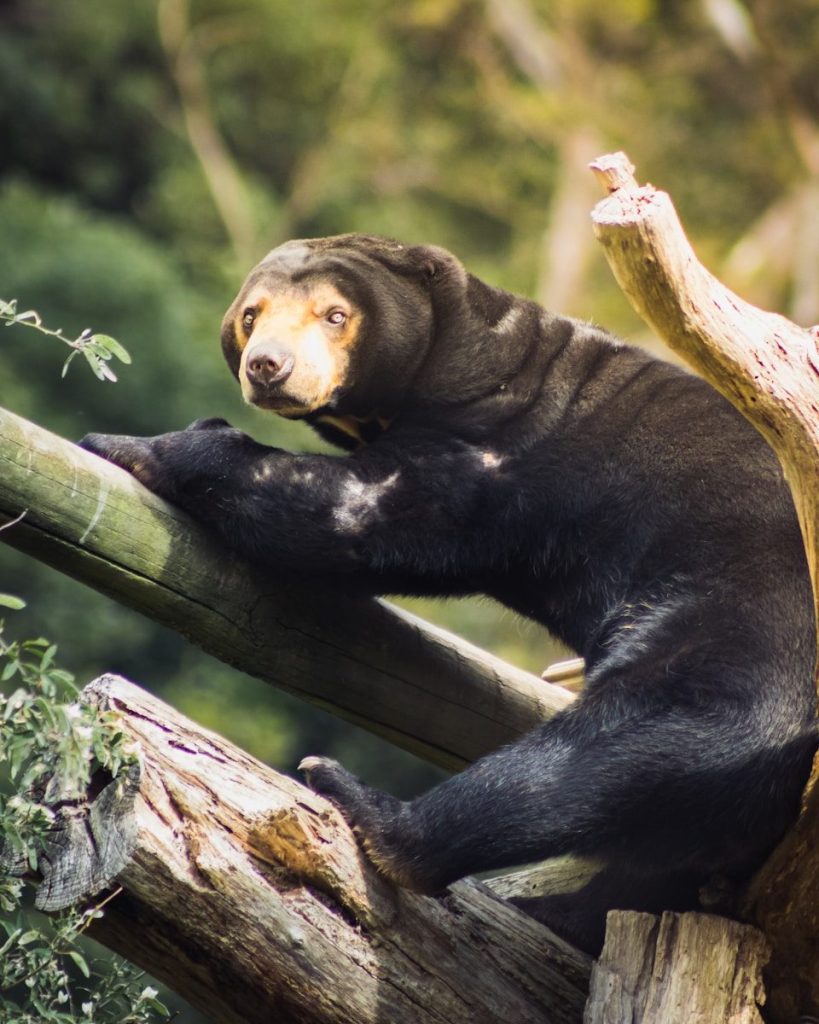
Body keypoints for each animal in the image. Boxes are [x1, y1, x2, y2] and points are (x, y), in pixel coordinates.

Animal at [80, 233, 816, 953]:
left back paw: (362, 804)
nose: (268, 367)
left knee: (621, 746)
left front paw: (129, 442)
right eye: (251, 314)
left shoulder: (490, 446)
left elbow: (353, 512)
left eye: (335, 315)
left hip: (738, 631)